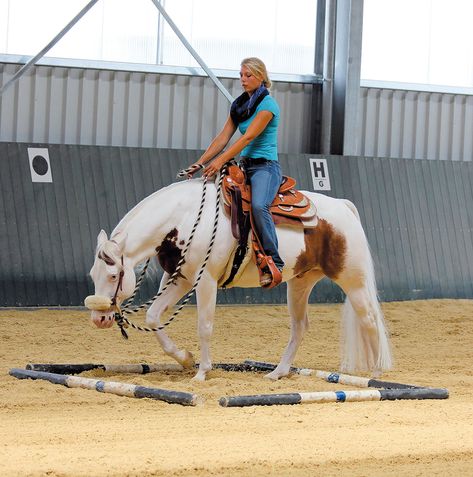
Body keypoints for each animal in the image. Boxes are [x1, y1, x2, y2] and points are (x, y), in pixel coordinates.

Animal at [86, 175, 392, 380]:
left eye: (113, 275)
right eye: (93, 274)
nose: (99, 319)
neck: (184, 219)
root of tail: (343, 206)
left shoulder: (205, 281)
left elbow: (204, 326)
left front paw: (202, 372)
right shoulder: (179, 278)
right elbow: (153, 317)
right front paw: (185, 358)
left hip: (352, 279)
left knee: (369, 319)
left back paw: (376, 373)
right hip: (300, 282)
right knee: (300, 327)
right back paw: (278, 372)